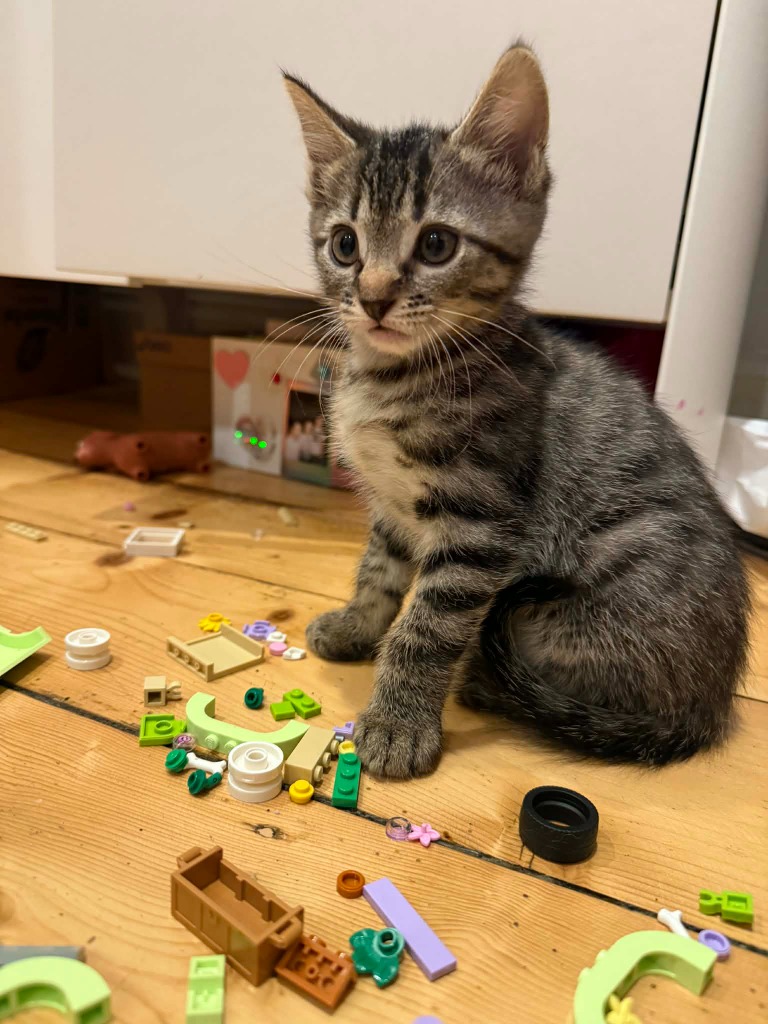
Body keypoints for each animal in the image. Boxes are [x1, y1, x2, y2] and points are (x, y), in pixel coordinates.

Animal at [284, 42, 750, 779]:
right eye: (345, 245)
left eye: (436, 244)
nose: (375, 298)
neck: (394, 375)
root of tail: (708, 707)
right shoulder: (392, 504)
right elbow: (379, 570)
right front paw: (357, 624)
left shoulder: (480, 522)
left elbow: (426, 626)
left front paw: (398, 723)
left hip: (571, 605)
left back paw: (492, 685)